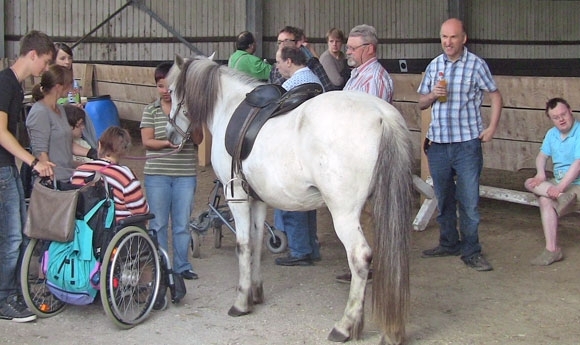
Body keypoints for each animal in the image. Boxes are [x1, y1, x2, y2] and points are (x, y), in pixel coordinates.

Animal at [165, 56, 414, 344]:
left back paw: (344, 326)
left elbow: (243, 245)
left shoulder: (237, 196)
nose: (170, 136)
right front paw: (256, 293)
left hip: (344, 213)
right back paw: (387, 330)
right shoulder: (258, 200)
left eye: (170, 92)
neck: (228, 107)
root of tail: (382, 114)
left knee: (360, 257)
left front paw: (241, 302)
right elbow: (257, 241)